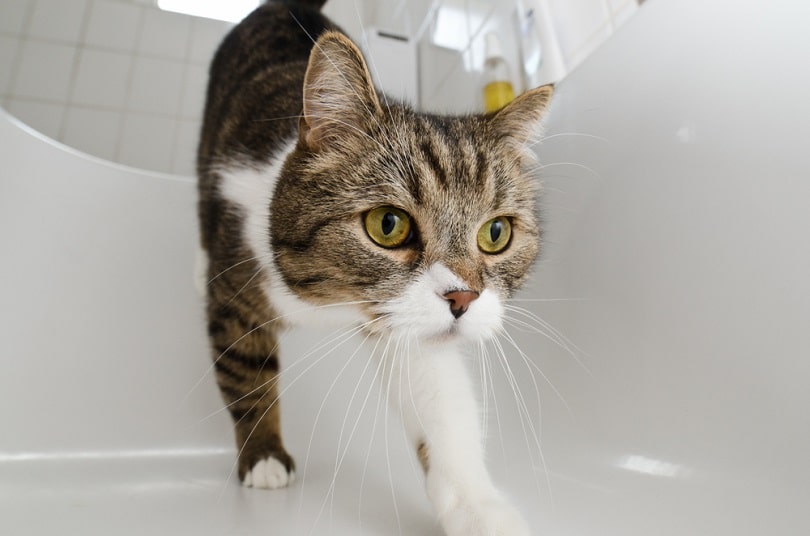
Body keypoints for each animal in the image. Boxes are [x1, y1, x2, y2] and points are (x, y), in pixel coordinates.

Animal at [195, 1, 552, 536]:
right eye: (388, 224)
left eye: (496, 233)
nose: (464, 298)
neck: (333, 302)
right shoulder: (234, 288)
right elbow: (245, 371)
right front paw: (263, 456)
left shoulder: (412, 330)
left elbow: (443, 407)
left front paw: (479, 508)